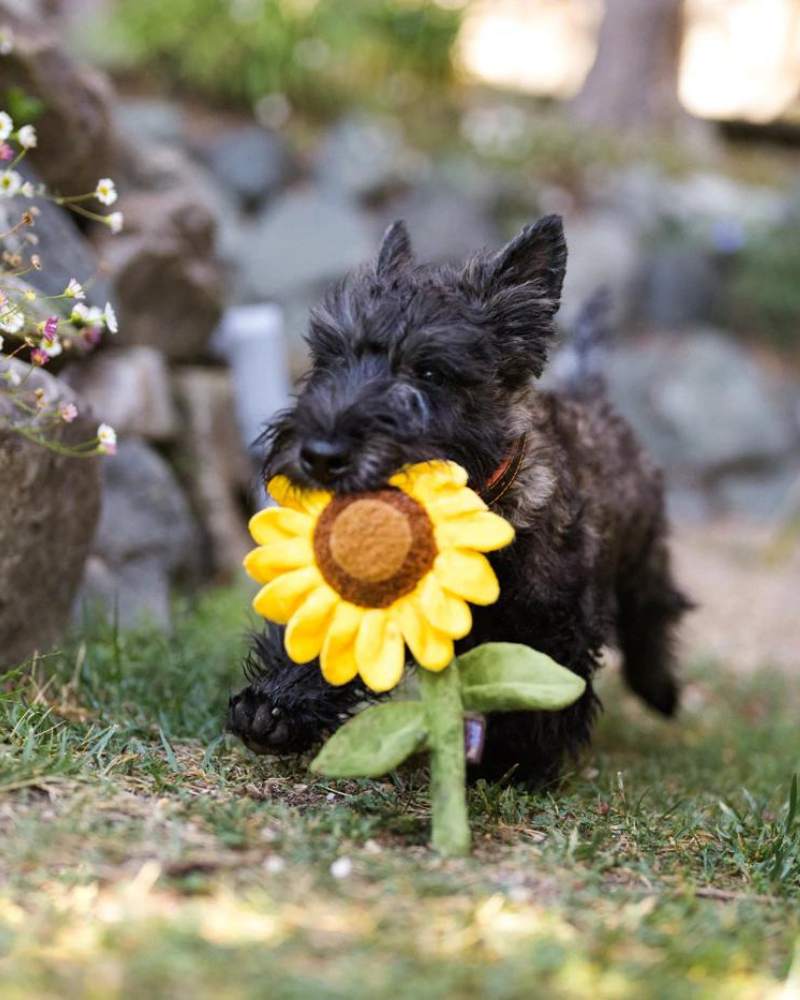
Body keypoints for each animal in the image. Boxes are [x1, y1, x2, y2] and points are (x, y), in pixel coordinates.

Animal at [225, 219, 688, 788]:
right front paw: (273, 710)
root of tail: (592, 395)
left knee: (656, 608)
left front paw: (513, 762)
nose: (320, 455)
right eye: (332, 358)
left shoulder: (555, 624)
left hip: (645, 552)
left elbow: (537, 690)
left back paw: (660, 690)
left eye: (429, 373)